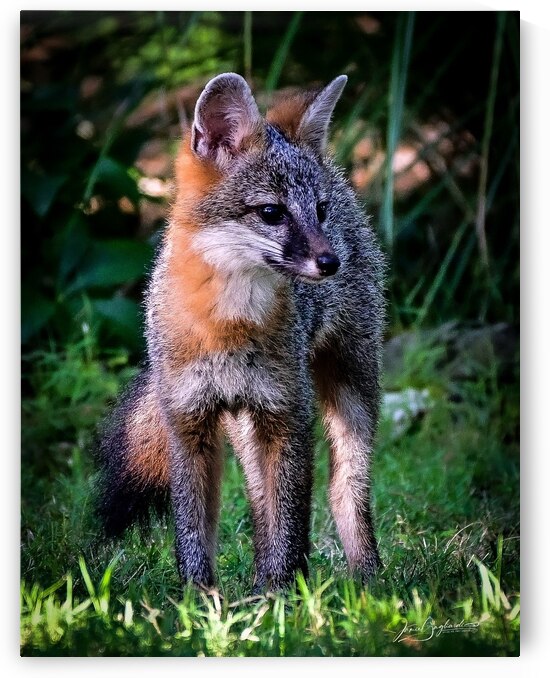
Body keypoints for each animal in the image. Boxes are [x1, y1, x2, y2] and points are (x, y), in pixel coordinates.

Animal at [96, 72, 385, 592]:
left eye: (319, 211)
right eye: (272, 213)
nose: (331, 262)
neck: (225, 325)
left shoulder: (289, 415)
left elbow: (291, 520)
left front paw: (282, 592)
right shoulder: (188, 423)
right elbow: (193, 532)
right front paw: (198, 599)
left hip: (350, 393)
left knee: (344, 491)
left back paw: (368, 581)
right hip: (245, 427)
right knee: (257, 502)